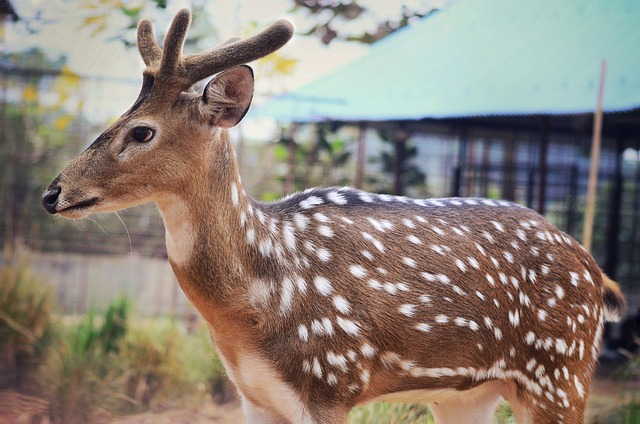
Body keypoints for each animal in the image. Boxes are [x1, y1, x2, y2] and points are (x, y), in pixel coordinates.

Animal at [42, 9, 628, 424]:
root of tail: (599, 275)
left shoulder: (331, 379)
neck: (256, 305)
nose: (53, 192)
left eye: (142, 131)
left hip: (561, 372)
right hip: (469, 394)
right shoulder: (255, 397)